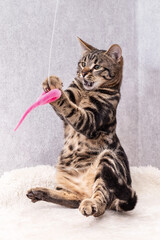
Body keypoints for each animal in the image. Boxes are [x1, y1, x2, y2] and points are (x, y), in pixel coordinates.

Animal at [26, 38, 137, 218]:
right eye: (83, 63)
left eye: (97, 66)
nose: (83, 73)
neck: (87, 91)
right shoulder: (73, 94)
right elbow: (67, 97)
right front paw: (52, 82)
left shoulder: (89, 120)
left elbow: (69, 106)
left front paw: (56, 92)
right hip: (64, 180)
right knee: (71, 199)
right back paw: (40, 192)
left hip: (108, 161)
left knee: (101, 202)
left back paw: (91, 205)